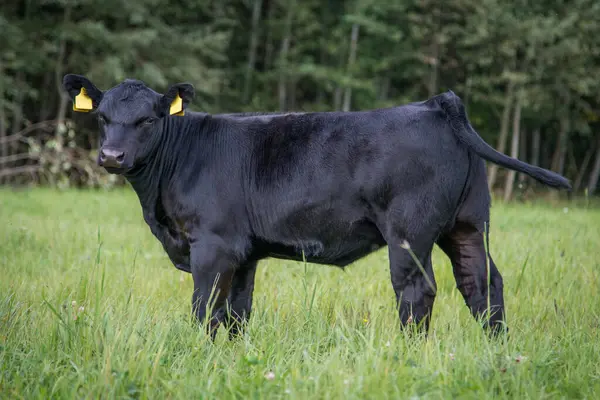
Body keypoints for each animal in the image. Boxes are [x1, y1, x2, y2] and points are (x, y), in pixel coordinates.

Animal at [62, 74, 572, 338]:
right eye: (103, 117)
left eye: (148, 120)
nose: (111, 156)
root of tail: (434, 103)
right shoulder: (244, 251)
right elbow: (237, 312)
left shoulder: (213, 244)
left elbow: (205, 308)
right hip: (467, 223)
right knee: (482, 284)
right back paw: (497, 348)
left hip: (410, 231)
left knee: (417, 291)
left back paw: (409, 351)